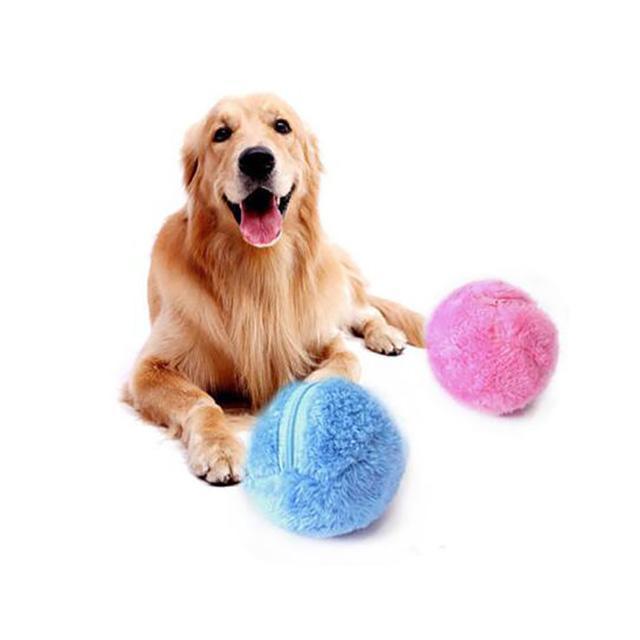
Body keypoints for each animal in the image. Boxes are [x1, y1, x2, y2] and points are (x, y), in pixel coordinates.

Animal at [125, 94, 424, 485]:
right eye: (221, 133)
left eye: (282, 126)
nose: (256, 159)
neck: (259, 271)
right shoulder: (149, 368)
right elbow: (200, 401)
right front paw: (219, 446)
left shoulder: (324, 336)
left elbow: (338, 367)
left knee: (367, 311)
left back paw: (386, 335)